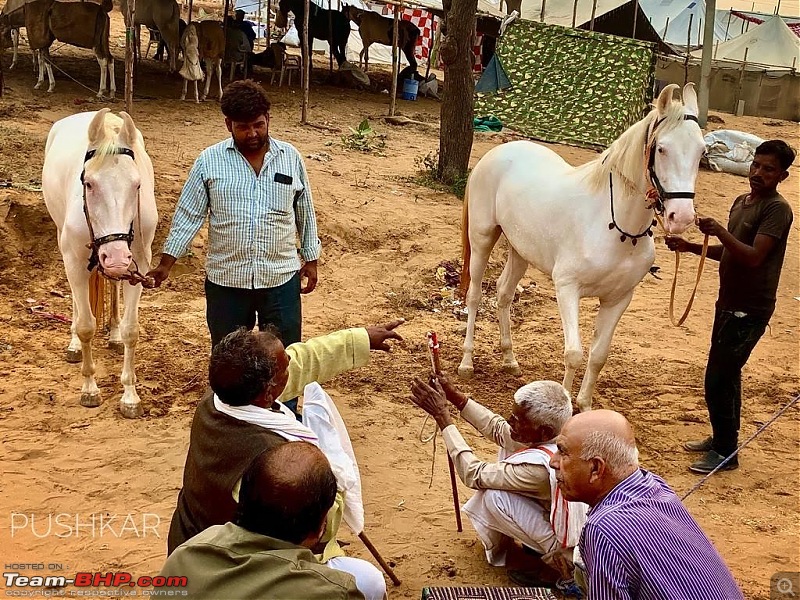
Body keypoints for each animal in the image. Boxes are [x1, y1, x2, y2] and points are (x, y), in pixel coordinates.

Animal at [42, 109, 158, 418]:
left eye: (137, 185)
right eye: (89, 183)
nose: (116, 256)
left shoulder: (138, 265)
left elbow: (132, 330)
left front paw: (130, 396)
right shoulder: (74, 261)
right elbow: (86, 326)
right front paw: (90, 389)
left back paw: (114, 334)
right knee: (76, 302)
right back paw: (73, 345)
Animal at [460, 83, 704, 412]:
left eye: (702, 151)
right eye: (662, 148)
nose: (682, 217)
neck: (615, 227)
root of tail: (499, 152)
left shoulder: (618, 299)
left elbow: (598, 356)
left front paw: (585, 406)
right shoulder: (567, 288)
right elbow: (573, 354)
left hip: (520, 251)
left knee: (503, 294)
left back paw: (510, 360)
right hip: (482, 238)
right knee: (474, 296)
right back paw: (467, 363)